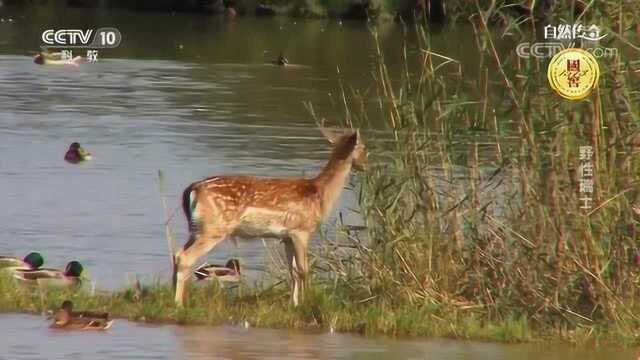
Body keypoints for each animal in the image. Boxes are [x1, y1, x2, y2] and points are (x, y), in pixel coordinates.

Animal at [172, 126, 368, 306]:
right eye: (364, 147)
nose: (366, 164)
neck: (320, 195)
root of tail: (193, 189)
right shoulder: (301, 231)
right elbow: (303, 270)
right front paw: (307, 302)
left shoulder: (287, 237)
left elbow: (292, 270)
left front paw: (293, 304)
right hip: (214, 228)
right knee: (185, 257)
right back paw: (178, 303)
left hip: (197, 228)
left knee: (177, 253)